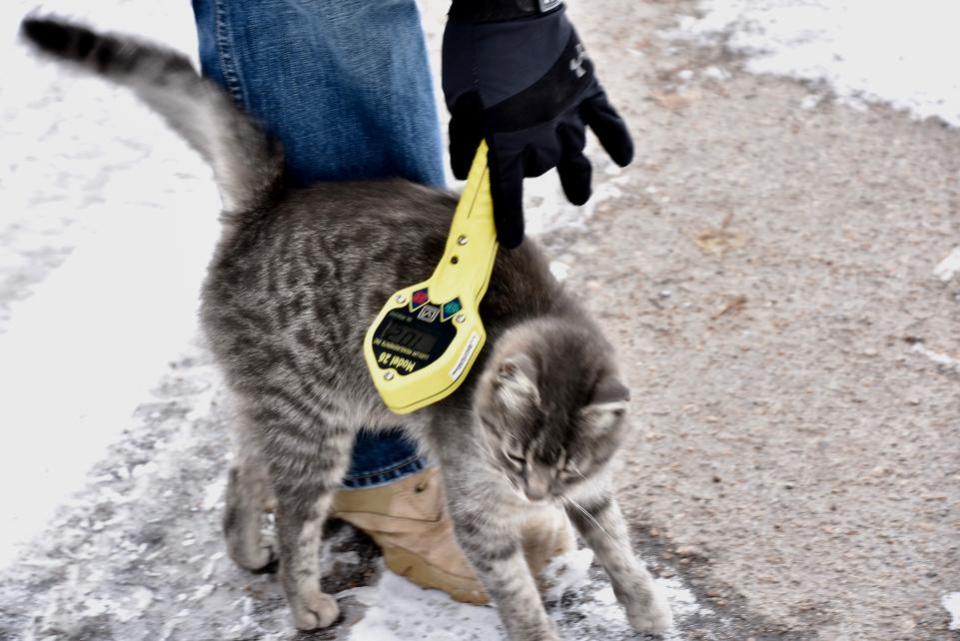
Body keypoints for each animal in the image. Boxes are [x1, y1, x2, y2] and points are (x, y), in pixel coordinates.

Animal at [24, 17, 676, 636]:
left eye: (563, 468)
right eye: (515, 456)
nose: (532, 495)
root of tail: (264, 209)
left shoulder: (592, 491)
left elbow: (619, 548)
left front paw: (645, 605)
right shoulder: (479, 517)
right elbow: (517, 596)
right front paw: (540, 628)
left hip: (276, 408)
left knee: (244, 466)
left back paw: (245, 546)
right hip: (311, 425)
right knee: (294, 522)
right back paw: (303, 599)